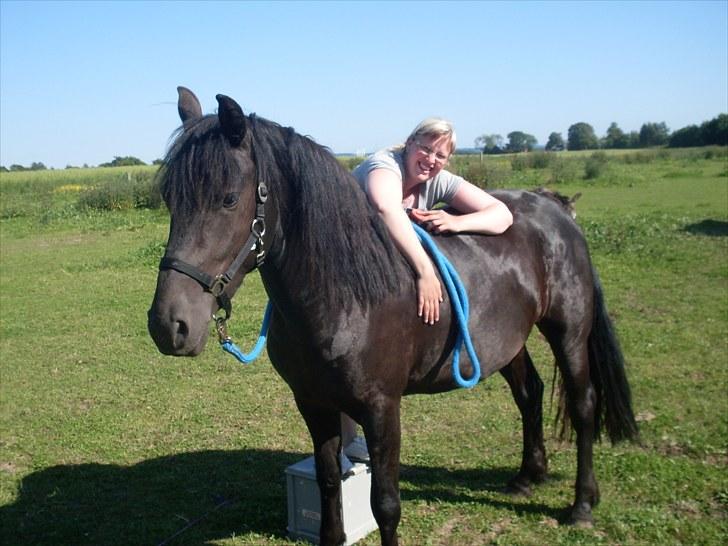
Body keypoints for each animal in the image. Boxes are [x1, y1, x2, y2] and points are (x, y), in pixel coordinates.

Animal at [148, 87, 636, 540]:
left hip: (568, 332)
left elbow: (385, 504)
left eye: (229, 199)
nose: (168, 325)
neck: (346, 297)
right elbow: (329, 482)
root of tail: (556, 209)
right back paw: (527, 477)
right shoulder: (312, 403)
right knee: (530, 393)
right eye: (169, 198)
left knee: (583, 404)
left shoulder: (382, 408)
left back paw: (582, 504)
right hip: (505, 343)